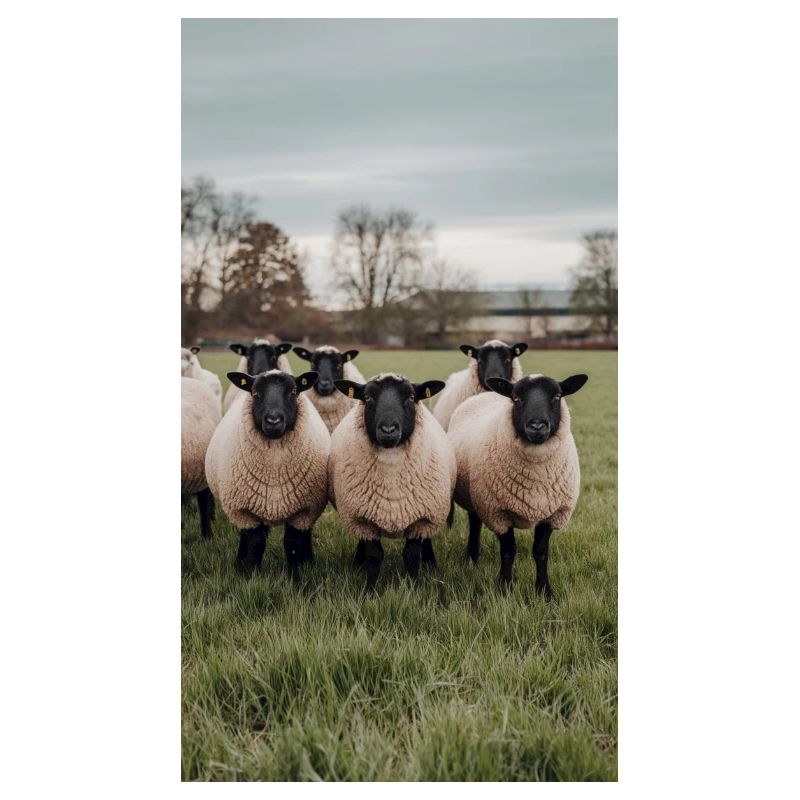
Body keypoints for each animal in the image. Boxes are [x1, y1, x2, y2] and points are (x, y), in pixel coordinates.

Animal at [205, 368, 330, 576]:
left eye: (293, 391)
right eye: (255, 392)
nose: (273, 421)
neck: (274, 469)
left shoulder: (305, 510)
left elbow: (293, 544)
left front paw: (296, 576)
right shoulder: (243, 511)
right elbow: (255, 544)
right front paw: (248, 574)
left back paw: (308, 561)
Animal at [328, 373, 455, 589]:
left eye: (411, 397)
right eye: (367, 397)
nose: (388, 430)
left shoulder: (421, 518)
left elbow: (411, 555)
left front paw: (413, 588)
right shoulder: (362, 519)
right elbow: (374, 556)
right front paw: (370, 589)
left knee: (427, 539)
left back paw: (431, 564)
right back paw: (357, 562)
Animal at [447, 372, 588, 595]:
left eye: (557, 396)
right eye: (516, 398)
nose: (537, 426)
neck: (536, 478)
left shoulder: (553, 514)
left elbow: (541, 553)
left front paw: (544, 591)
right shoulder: (498, 512)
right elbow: (508, 552)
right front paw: (505, 587)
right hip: (476, 496)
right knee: (475, 522)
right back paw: (472, 557)